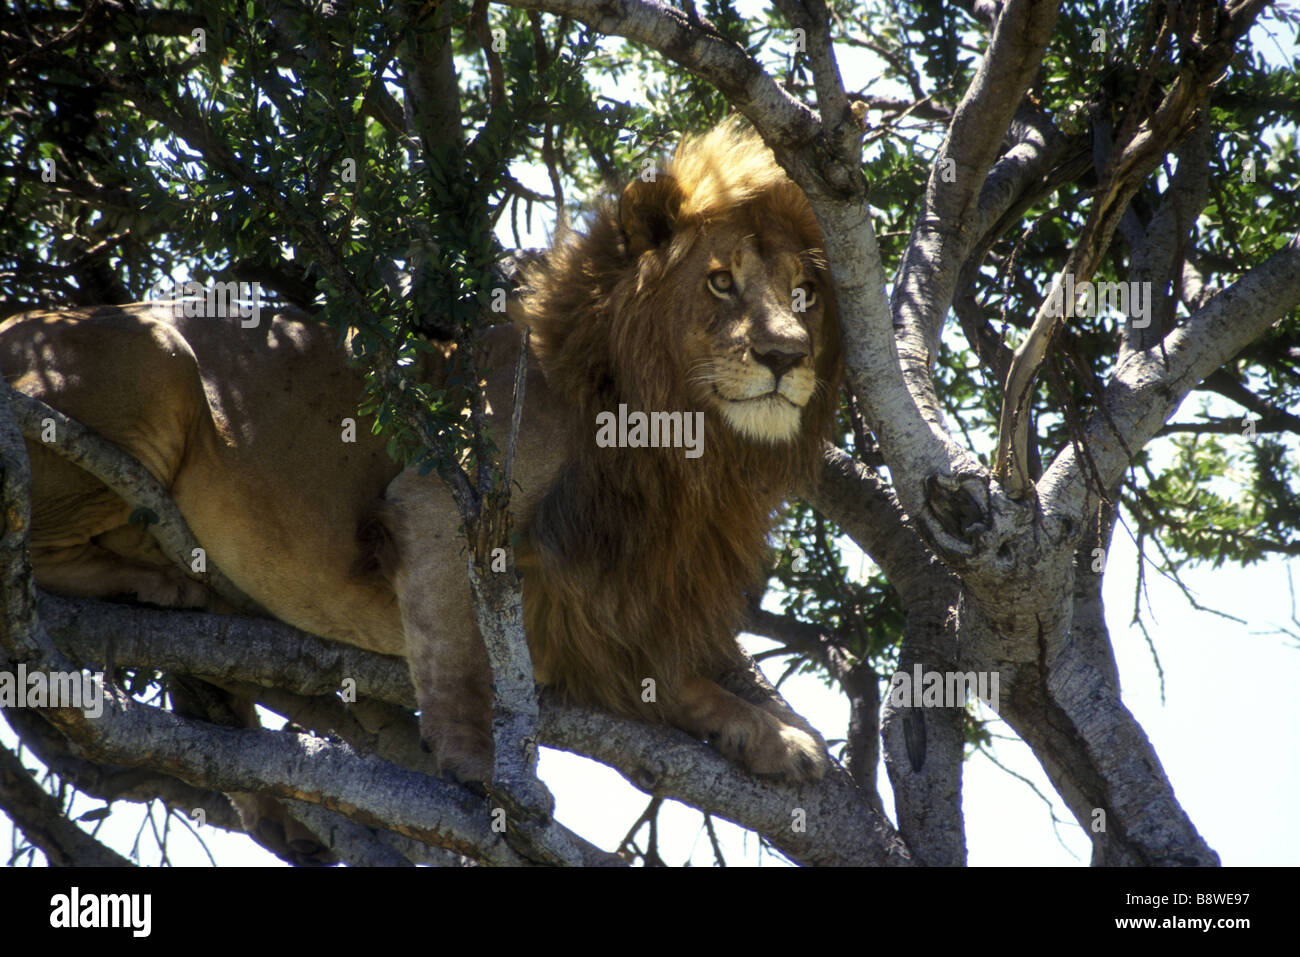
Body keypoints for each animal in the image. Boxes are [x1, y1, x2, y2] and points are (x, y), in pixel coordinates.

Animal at [2, 117, 842, 816]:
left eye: (804, 293)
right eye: (721, 280)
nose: (786, 354)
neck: (688, 455)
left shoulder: (623, 597)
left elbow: (703, 673)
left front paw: (778, 732)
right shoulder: (446, 499)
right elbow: (459, 642)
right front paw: (475, 763)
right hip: (158, 370)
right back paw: (159, 583)